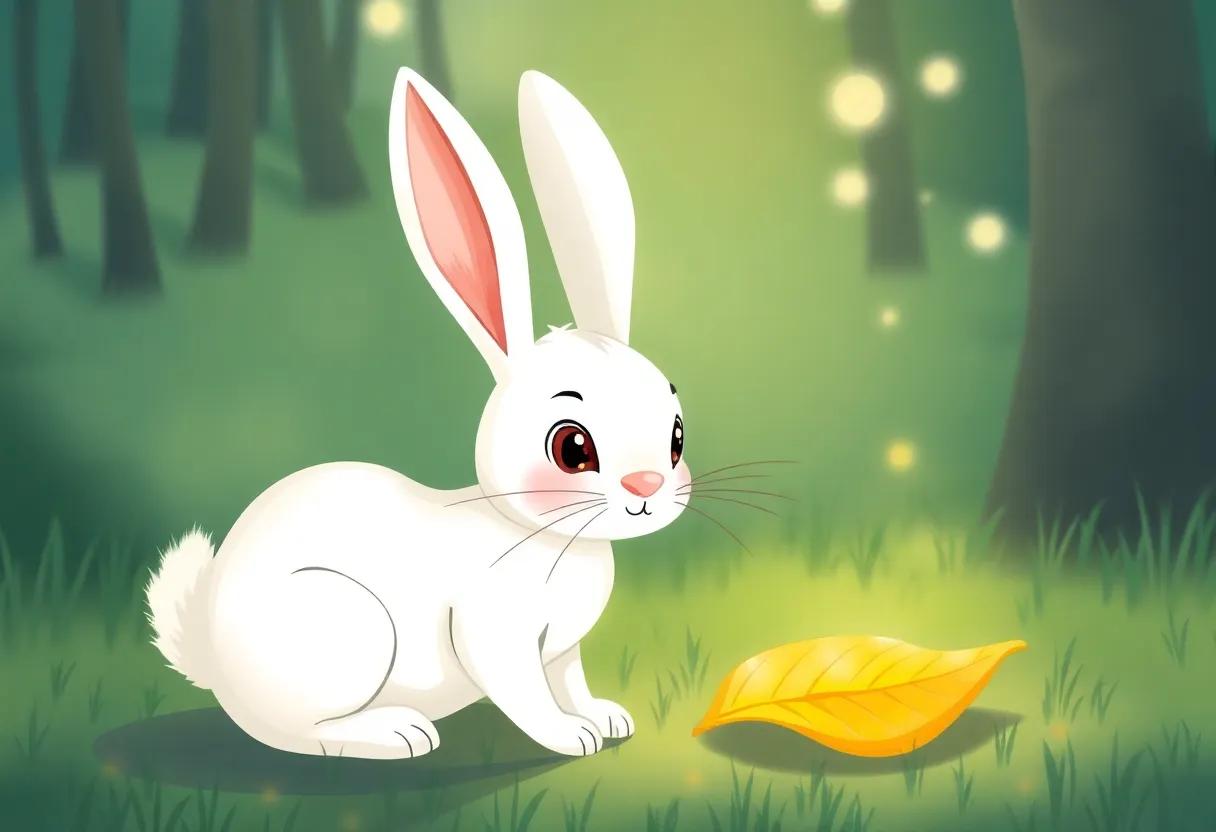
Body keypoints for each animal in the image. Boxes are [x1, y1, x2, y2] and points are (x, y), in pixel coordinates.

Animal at [144, 68, 691, 760]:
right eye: (572, 447)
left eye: (676, 436)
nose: (646, 486)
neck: (548, 538)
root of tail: (216, 663)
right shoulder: (495, 634)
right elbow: (528, 697)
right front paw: (573, 737)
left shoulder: (562, 650)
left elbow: (570, 680)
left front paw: (606, 717)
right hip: (347, 634)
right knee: (295, 733)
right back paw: (396, 732)